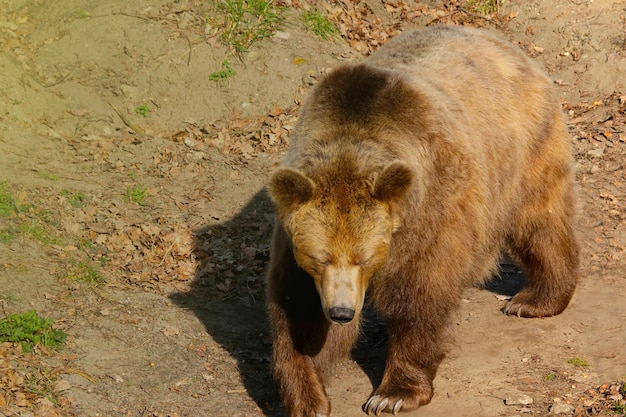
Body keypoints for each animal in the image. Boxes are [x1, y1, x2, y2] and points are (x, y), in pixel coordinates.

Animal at [264, 24, 576, 414]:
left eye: (364, 258)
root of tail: (501, 42)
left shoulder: (429, 207)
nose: (341, 312)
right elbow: (297, 312)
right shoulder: (296, 244)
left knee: (539, 219)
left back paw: (533, 301)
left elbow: (419, 292)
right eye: (319, 258)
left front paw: (393, 394)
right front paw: (308, 398)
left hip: (521, 145)